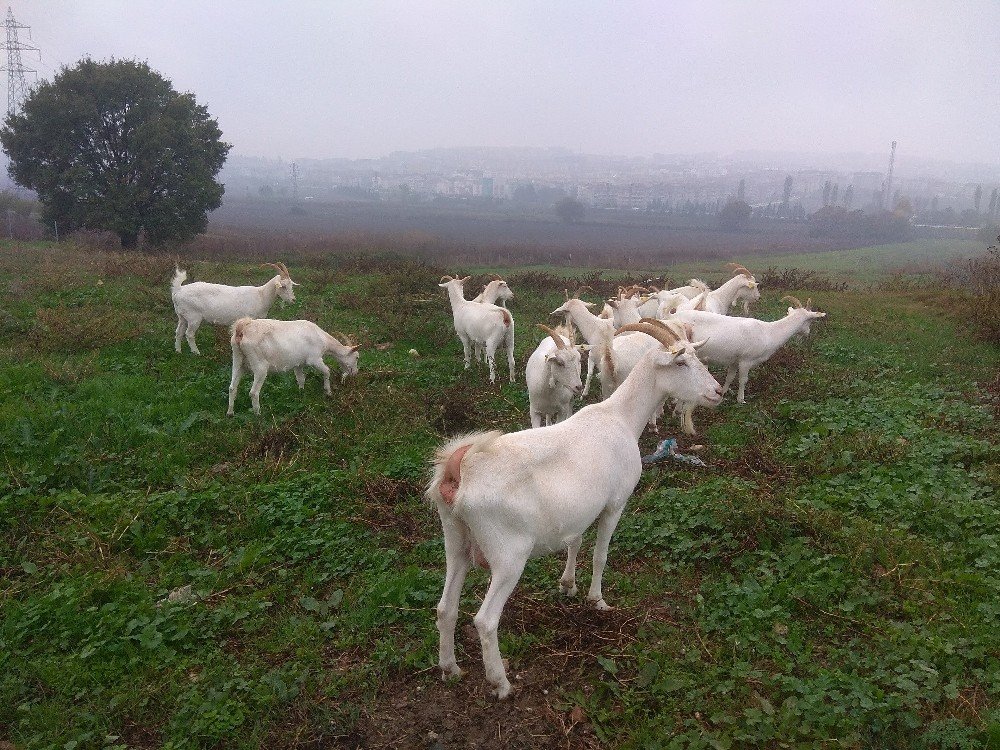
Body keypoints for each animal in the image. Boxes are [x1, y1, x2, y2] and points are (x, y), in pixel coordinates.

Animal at [226, 318, 360, 418]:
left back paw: (230, 413)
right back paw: (258, 415)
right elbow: (327, 371)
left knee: (232, 387)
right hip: (260, 366)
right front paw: (328, 393)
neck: (322, 338)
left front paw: (301, 394)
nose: (355, 373)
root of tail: (241, 329)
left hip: (238, 361)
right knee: (253, 392)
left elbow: (301, 379)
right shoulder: (314, 359)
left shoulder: (298, 364)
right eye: (357, 357)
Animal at [426, 320, 724, 704]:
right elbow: (600, 554)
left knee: (445, 607)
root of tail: (459, 468)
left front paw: (567, 584)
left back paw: (450, 668)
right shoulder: (614, 503)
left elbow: (575, 542)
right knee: (485, 620)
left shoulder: (580, 509)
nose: (717, 391)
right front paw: (597, 600)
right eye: (682, 363)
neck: (620, 417)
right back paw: (501, 683)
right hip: (508, 555)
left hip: (455, 539)